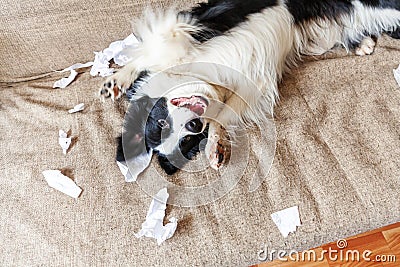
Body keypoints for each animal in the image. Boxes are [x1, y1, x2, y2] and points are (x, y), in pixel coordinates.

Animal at [98, 1, 398, 179]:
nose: (195, 124)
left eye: (161, 122)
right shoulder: (253, 88)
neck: (201, 75)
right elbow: (224, 115)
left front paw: (117, 79)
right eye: (186, 142)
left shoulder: (201, 22)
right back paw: (361, 43)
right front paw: (216, 147)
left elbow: (155, 48)